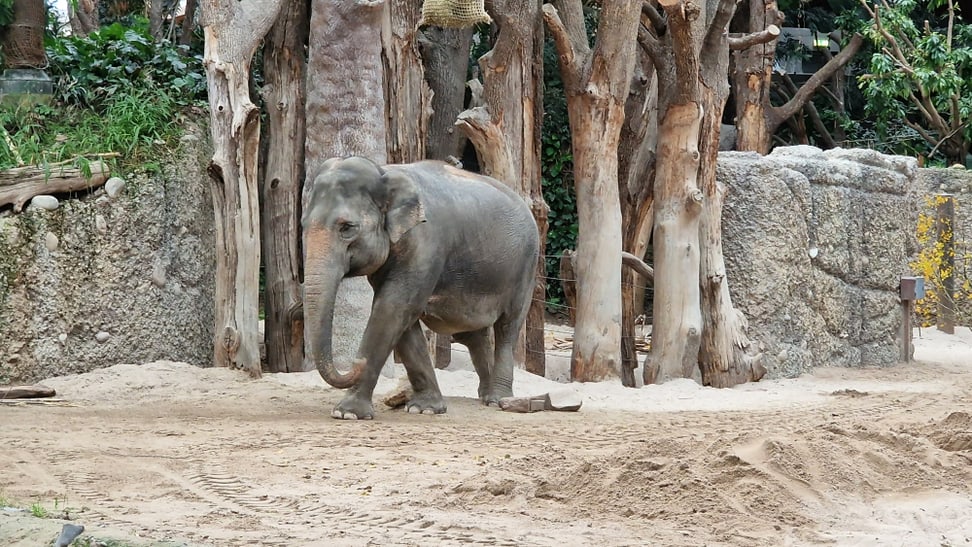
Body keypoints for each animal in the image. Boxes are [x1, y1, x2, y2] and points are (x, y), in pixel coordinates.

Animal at [301, 156, 540, 420]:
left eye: (347, 228)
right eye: (302, 225)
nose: (356, 362)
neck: (384, 172)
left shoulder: (425, 244)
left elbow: (393, 308)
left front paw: (348, 414)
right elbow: (401, 317)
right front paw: (424, 408)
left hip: (525, 267)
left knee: (508, 327)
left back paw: (499, 400)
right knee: (472, 333)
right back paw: (486, 397)